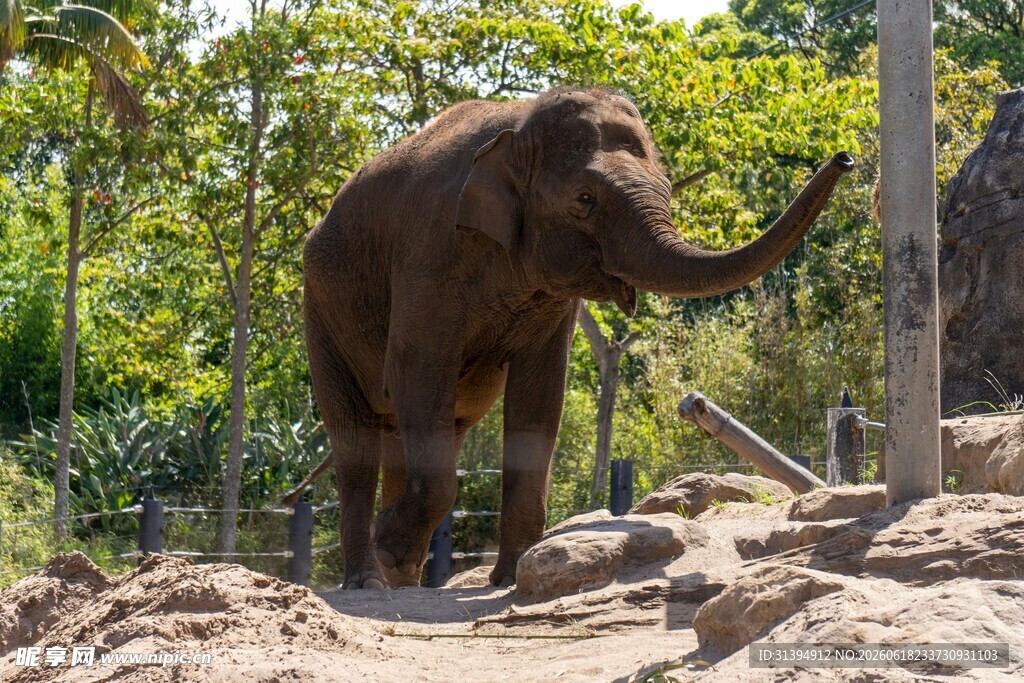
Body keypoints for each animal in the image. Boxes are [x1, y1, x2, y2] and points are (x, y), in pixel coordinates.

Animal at [301, 86, 854, 589]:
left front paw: (510, 578)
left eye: (668, 188)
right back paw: (370, 580)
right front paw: (388, 544)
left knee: (427, 428)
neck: (517, 126)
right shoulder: (430, 254)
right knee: (358, 438)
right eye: (584, 200)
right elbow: (416, 370)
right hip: (321, 311)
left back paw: (402, 582)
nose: (845, 156)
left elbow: (539, 396)